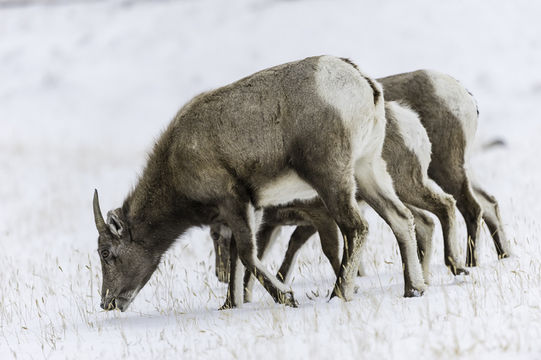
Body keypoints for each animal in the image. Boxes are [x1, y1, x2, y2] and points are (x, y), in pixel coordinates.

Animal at [92, 56, 426, 312]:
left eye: (106, 253)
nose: (108, 303)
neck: (176, 166)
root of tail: (363, 83)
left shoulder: (234, 201)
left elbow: (247, 255)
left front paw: (286, 297)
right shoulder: (251, 209)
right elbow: (238, 259)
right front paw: (229, 305)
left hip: (331, 178)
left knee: (357, 228)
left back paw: (338, 294)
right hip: (368, 169)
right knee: (401, 218)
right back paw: (414, 289)